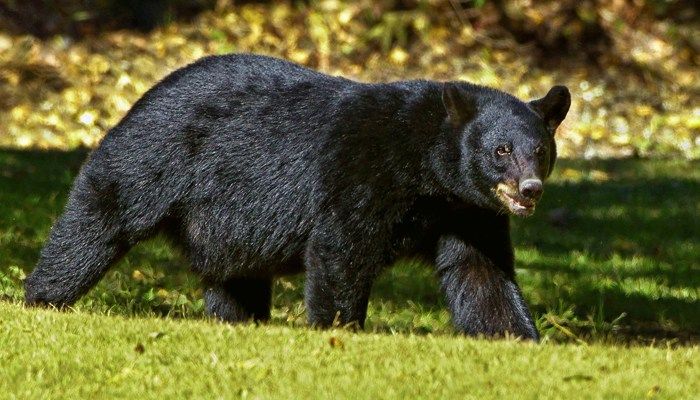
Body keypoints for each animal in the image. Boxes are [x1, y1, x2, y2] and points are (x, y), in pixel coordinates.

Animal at [24, 53, 570, 340]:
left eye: (540, 151)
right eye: (501, 150)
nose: (530, 189)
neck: (426, 170)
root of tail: (145, 92)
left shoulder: (467, 210)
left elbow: (481, 271)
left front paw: (517, 337)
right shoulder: (362, 171)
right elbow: (341, 249)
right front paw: (339, 330)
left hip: (226, 224)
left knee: (234, 277)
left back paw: (238, 320)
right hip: (154, 156)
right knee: (99, 218)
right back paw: (42, 298)